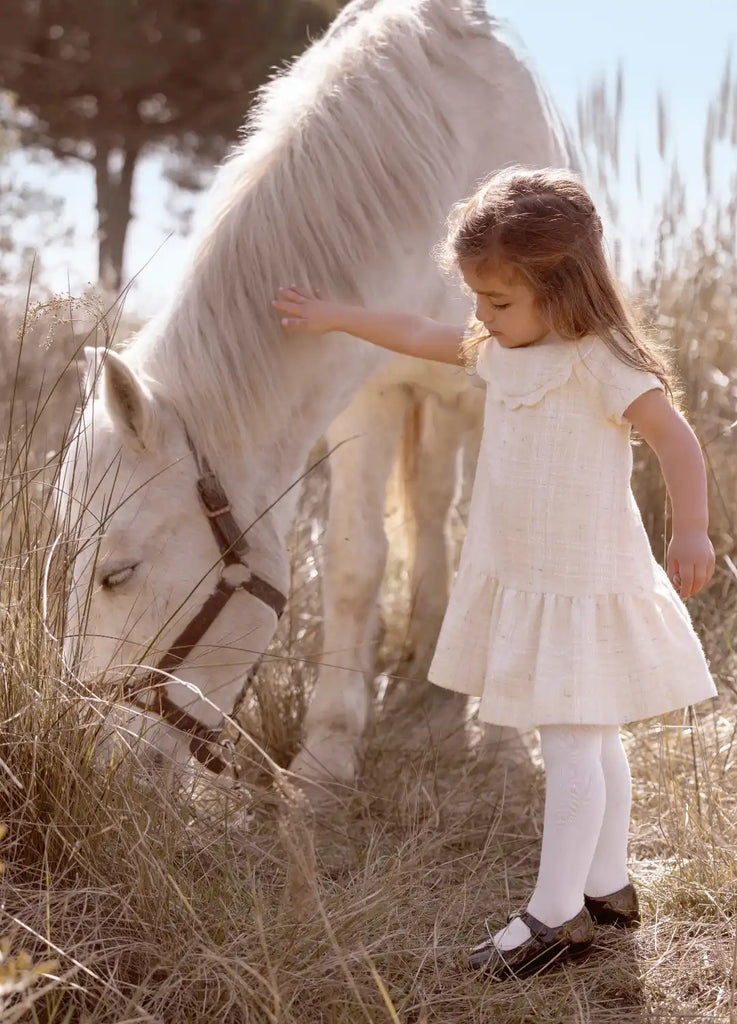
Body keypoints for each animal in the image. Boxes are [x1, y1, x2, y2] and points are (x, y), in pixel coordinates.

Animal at [61, 0, 569, 790]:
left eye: (117, 575)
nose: (91, 760)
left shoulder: (500, 398)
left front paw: (505, 744)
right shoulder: (367, 395)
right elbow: (355, 564)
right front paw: (328, 754)